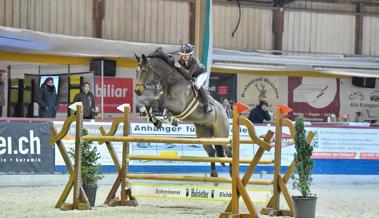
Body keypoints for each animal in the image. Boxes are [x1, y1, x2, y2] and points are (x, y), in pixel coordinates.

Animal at [135, 48, 233, 177]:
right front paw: (157, 122)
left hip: (220, 135)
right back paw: (213, 174)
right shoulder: (159, 99)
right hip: (203, 133)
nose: (137, 91)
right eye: (137, 70)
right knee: (211, 152)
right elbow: (149, 104)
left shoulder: (178, 105)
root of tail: (224, 111)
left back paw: (232, 173)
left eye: (144, 70)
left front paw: (168, 119)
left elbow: (162, 106)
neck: (171, 82)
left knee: (229, 152)